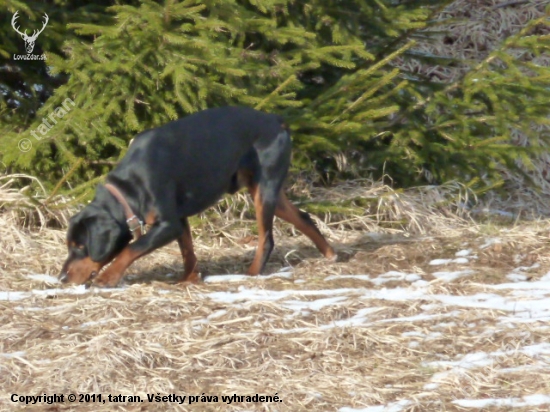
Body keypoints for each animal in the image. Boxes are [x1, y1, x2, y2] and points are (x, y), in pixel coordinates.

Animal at [60, 106, 336, 286]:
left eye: (81, 246)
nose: (62, 277)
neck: (129, 188)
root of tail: (276, 120)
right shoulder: (180, 219)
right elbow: (187, 251)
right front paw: (189, 279)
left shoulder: (168, 224)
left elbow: (131, 249)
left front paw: (108, 278)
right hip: (267, 192)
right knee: (303, 217)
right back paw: (330, 254)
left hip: (264, 192)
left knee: (267, 239)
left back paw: (251, 274)